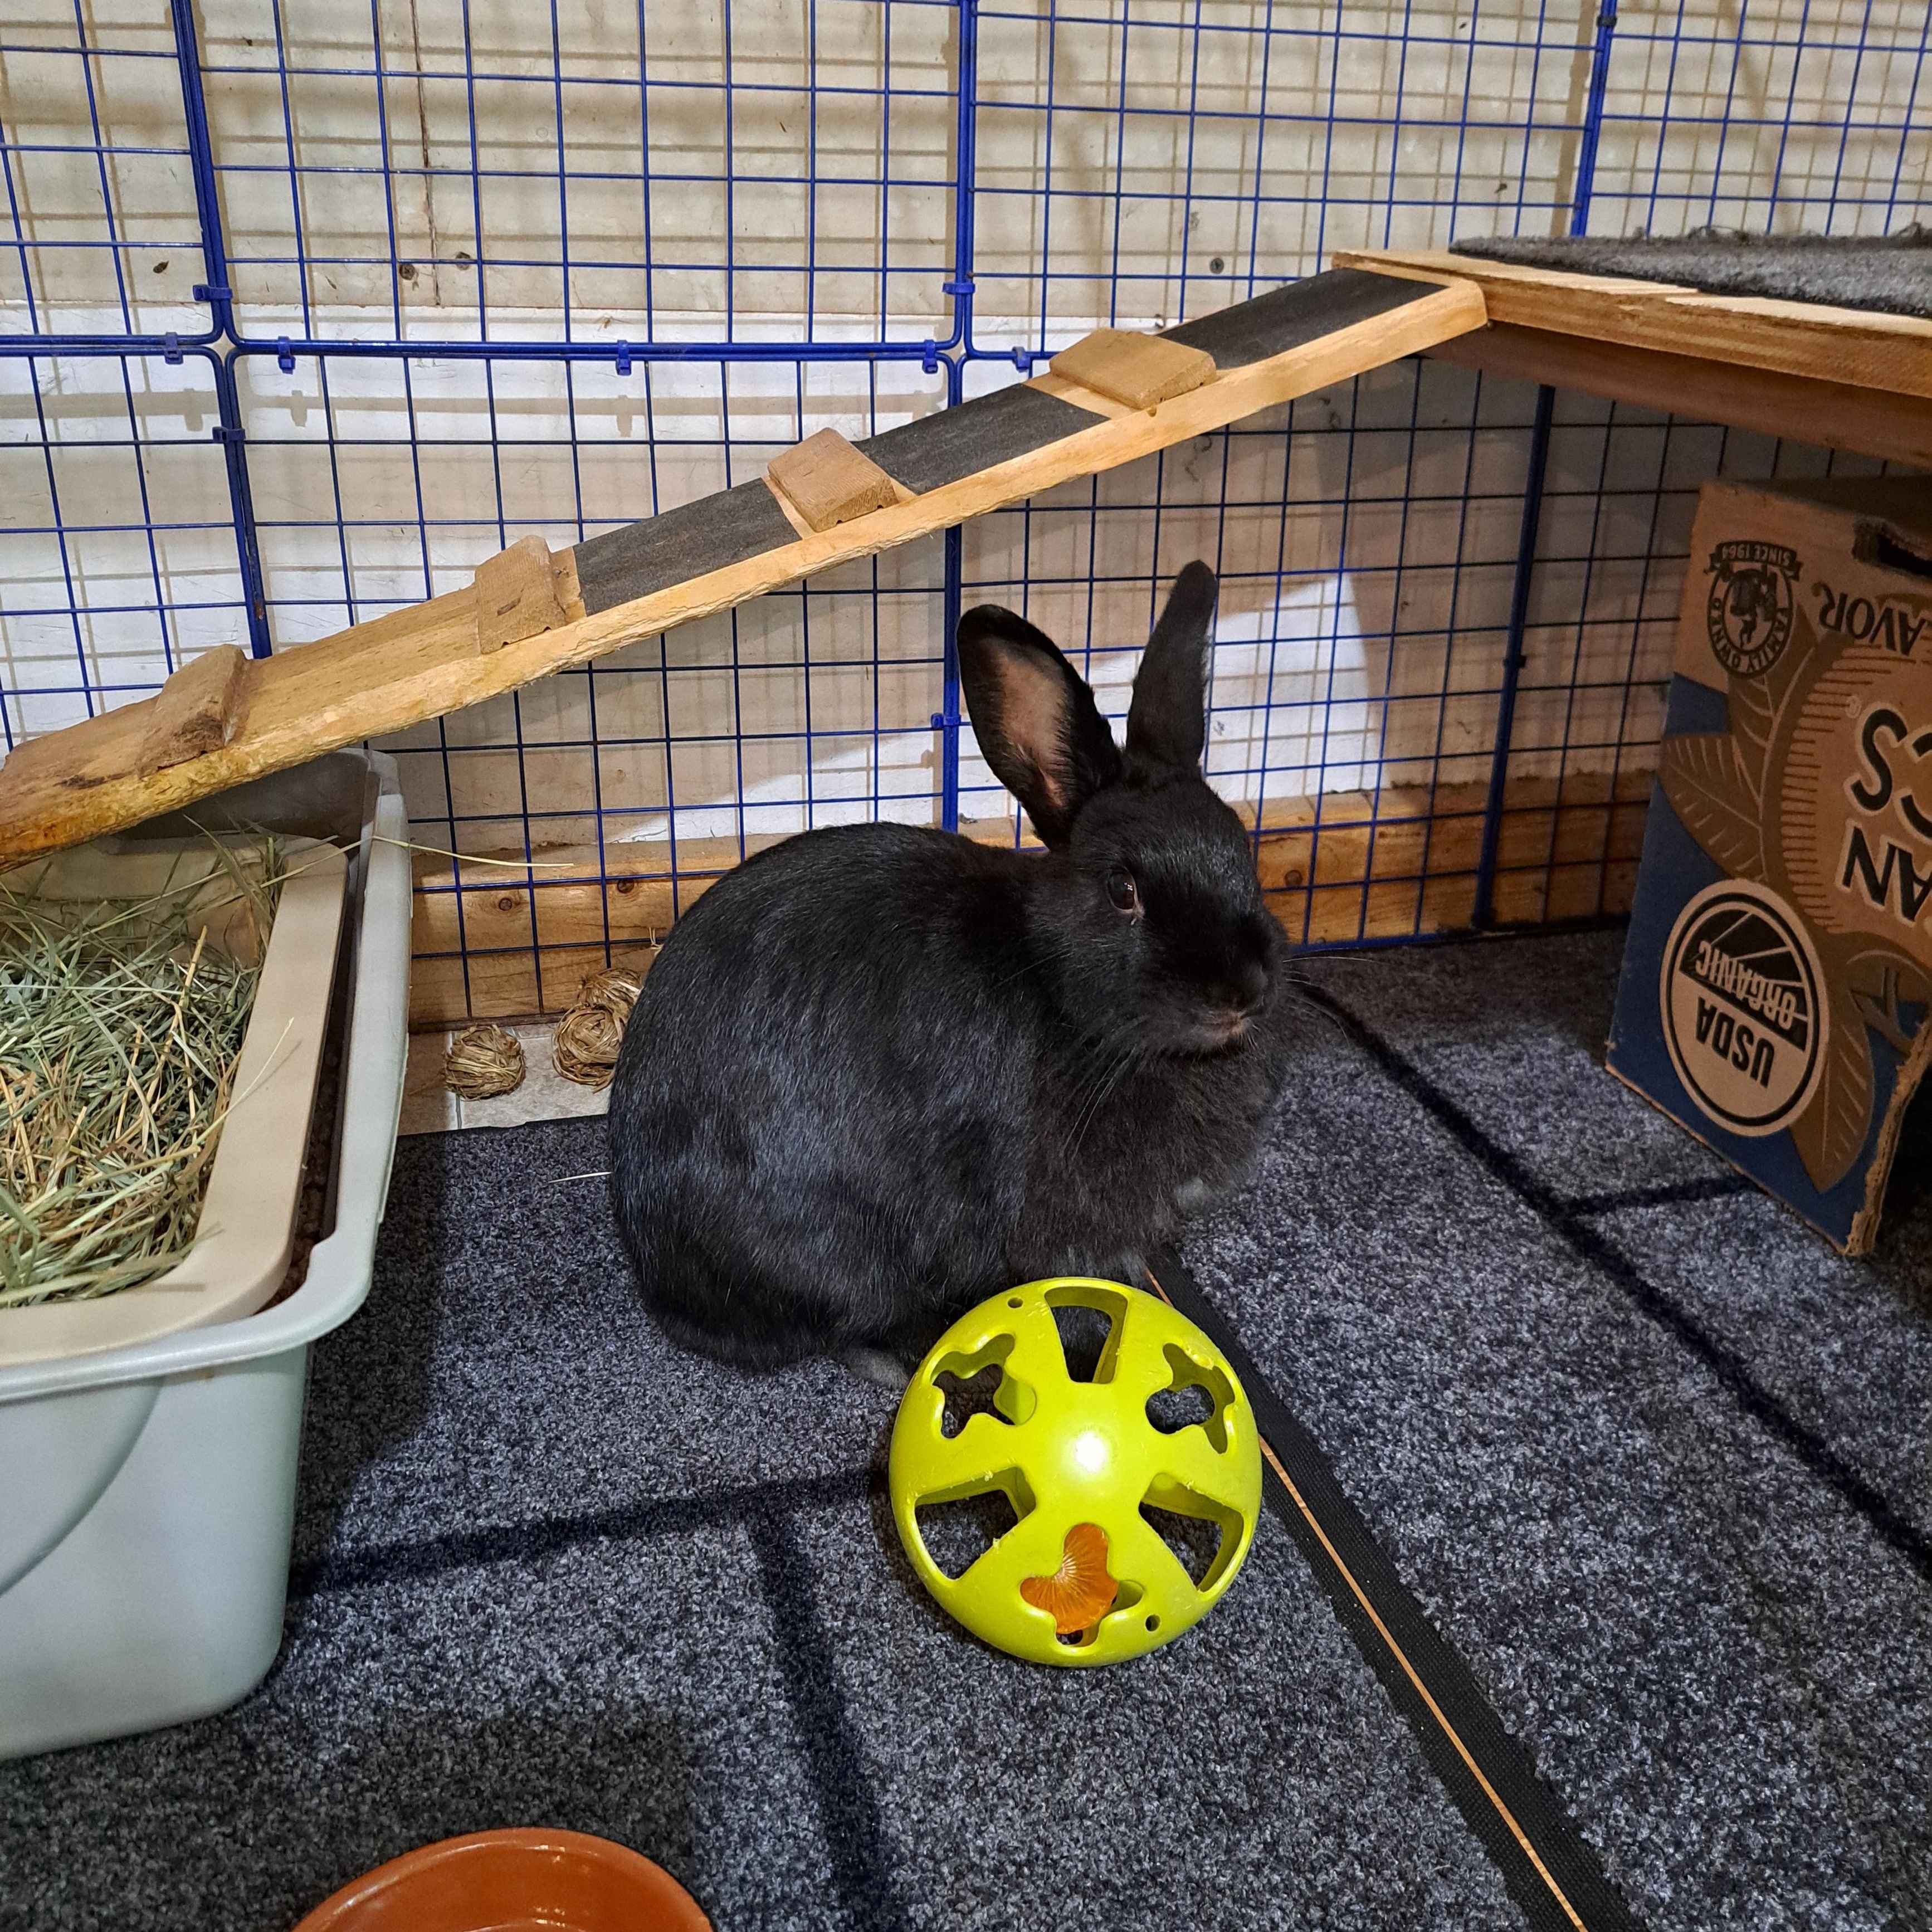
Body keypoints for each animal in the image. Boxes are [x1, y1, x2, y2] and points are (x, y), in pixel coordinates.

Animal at [608, 560, 1292, 1378]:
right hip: (844, 1252)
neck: (1057, 990)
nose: (1242, 991)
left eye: (1243, 851)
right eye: (1123, 891)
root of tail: (660, 1280)